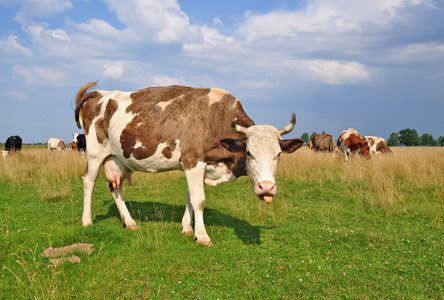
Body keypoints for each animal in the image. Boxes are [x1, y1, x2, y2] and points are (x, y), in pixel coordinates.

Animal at [75, 82, 306, 246]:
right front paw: (202, 236)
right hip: (95, 153)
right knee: (88, 181)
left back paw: (129, 222)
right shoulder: (193, 160)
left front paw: (187, 228)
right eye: (249, 153)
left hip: (118, 158)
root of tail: (99, 93)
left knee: (116, 187)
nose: (266, 187)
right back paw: (86, 220)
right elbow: (199, 200)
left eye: (278, 154)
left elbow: (190, 197)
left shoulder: (196, 166)